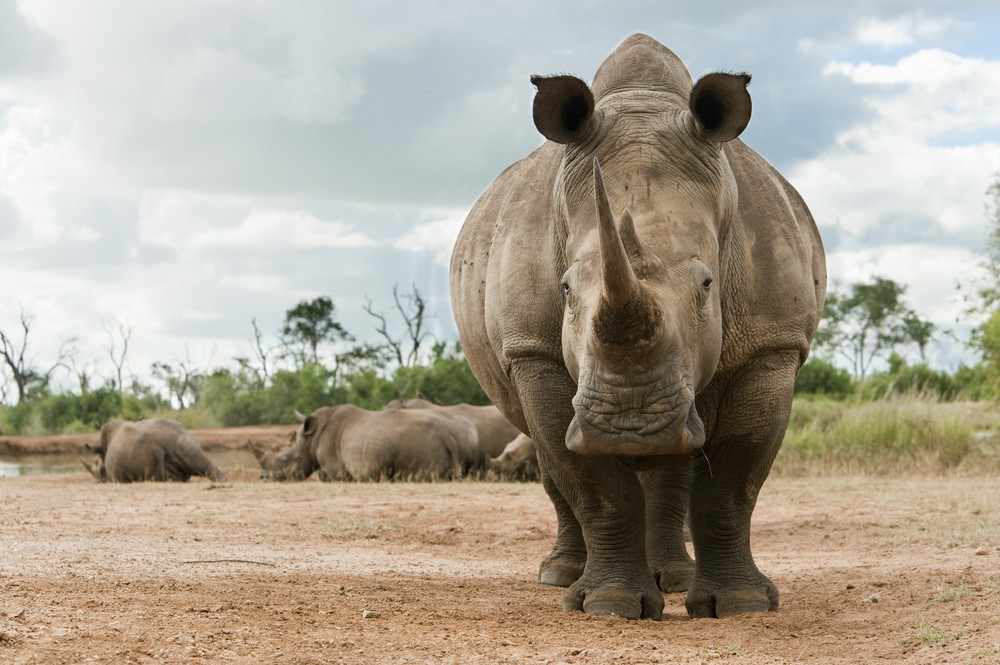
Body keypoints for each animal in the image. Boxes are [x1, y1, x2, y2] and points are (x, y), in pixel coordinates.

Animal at [249, 404, 480, 481]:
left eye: (285, 459)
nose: (262, 478)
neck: (309, 440)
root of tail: (450, 435)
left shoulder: (335, 469)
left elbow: (324, 475)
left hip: (421, 443)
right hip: (468, 437)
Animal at [450, 34, 825, 620]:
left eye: (707, 285)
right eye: (564, 290)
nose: (628, 423)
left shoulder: (772, 345)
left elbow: (734, 482)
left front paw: (740, 605)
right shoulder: (532, 351)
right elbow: (593, 484)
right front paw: (608, 605)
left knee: (678, 462)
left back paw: (673, 577)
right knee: (550, 459)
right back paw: (561, 576)